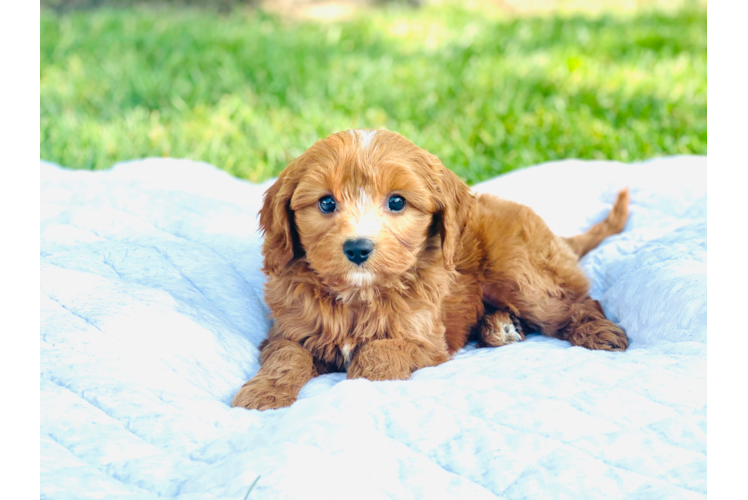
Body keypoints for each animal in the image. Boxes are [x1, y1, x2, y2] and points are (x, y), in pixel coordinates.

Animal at [234, 129, 632, 410]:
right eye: (326, 203)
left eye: (397, 201)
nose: (358, 248)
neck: (359, 296)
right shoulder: (289, 331)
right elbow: (286, 356)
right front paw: (263, 393)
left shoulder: (427, 342)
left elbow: (379, 351)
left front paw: (364, 381)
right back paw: (499, 327)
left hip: (519, 274)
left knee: (575, 302)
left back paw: (599, 333)